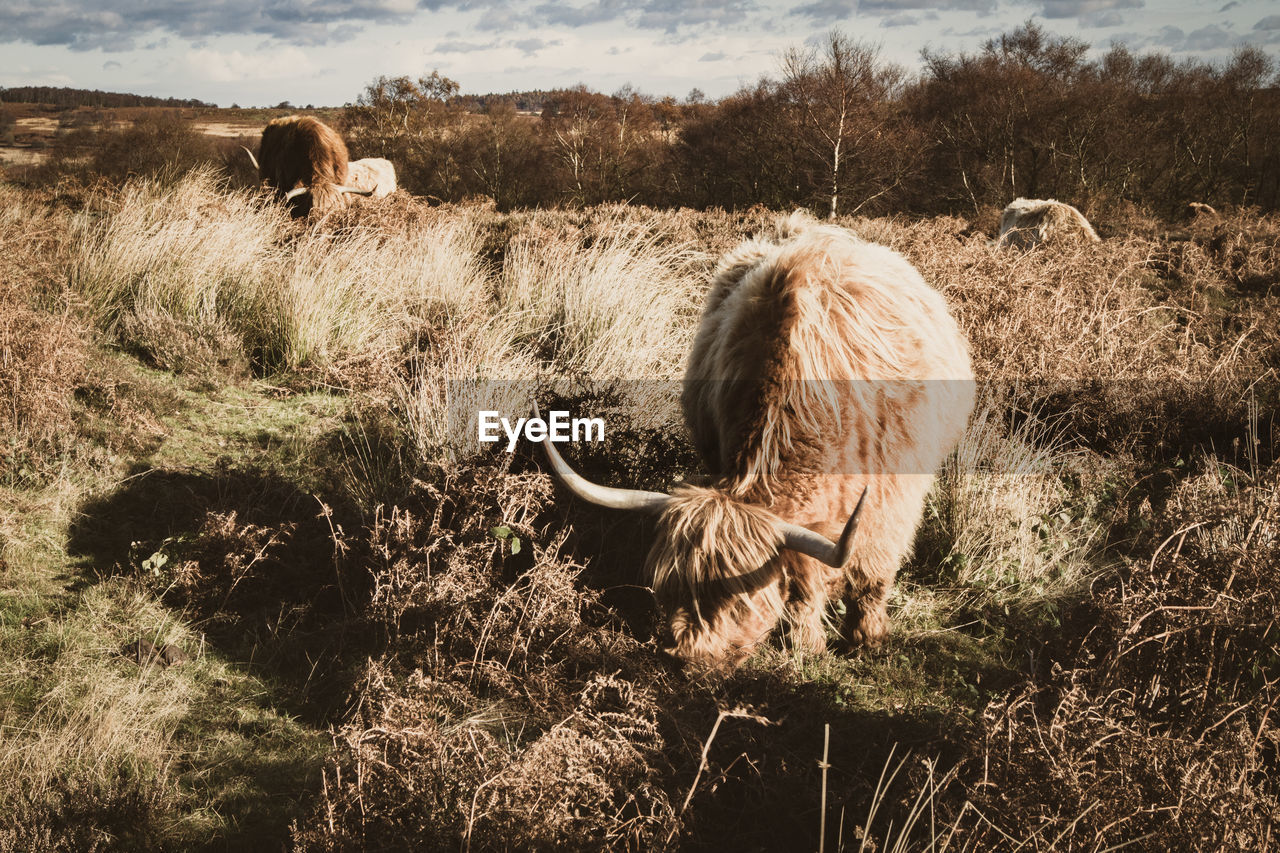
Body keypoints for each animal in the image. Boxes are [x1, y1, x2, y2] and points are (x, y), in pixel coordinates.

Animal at [537, 212, 967, 666]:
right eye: (670, 588)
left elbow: (866, 571)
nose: (686, 655)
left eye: (737, 601)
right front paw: (806, 639)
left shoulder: (892, 498)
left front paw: (858, 638)